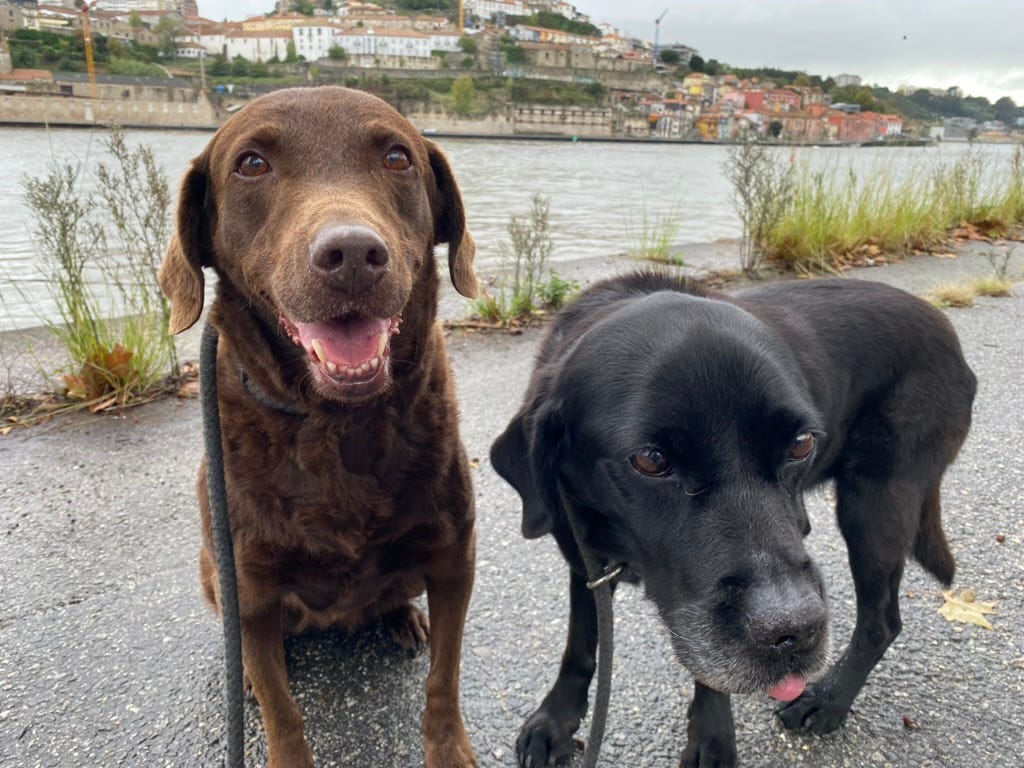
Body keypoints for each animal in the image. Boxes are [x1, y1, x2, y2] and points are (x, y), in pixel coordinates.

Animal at [159, 83, 479, 768]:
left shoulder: (454, 558)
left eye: (396, 156)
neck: (337, 425)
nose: (353, 254)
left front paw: (447, 748)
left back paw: (403, 619)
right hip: (213, 575)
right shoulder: (247, 591)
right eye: (251, 164)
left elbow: (444, 677)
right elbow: (283, 712)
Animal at [491, 274, 978, 765]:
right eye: (651, 460)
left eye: (801, 443)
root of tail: (944, 327)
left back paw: (828, 699)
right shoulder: (584, 561)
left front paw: (712, 739)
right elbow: (580, 644)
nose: (794, 634)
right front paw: (556, 720)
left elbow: (708, 674)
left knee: (881, 622)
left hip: (875, 507)